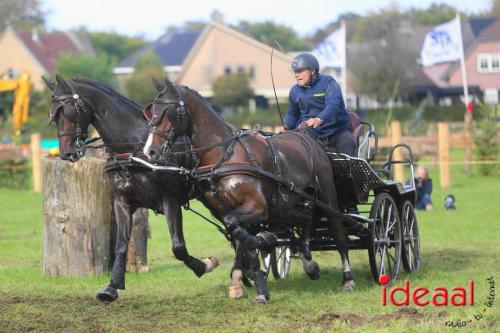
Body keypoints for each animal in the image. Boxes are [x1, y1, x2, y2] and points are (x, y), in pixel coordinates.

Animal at [44, 75, 219, 304]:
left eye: (69, 111)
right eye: (53, 115)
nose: (67, 153)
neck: (133, 149)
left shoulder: (170, 200)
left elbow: (178, 247)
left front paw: (204, 265)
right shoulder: (122, 202)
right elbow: (121, 246)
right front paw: (111, 287)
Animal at [143, 79, 356, 302]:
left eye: (168, 111)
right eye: (151, 111)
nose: (149, 151)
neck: (224, 155)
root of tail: (308, 139)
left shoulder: (258, 207)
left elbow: (240, 232)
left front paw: (260, 248)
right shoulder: (226, 210)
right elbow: (238, 235)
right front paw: (249, 280)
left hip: (326, 196)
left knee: (338, 234)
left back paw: (347, 279)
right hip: (287, 204)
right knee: (306, 220)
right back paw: (308, 261)